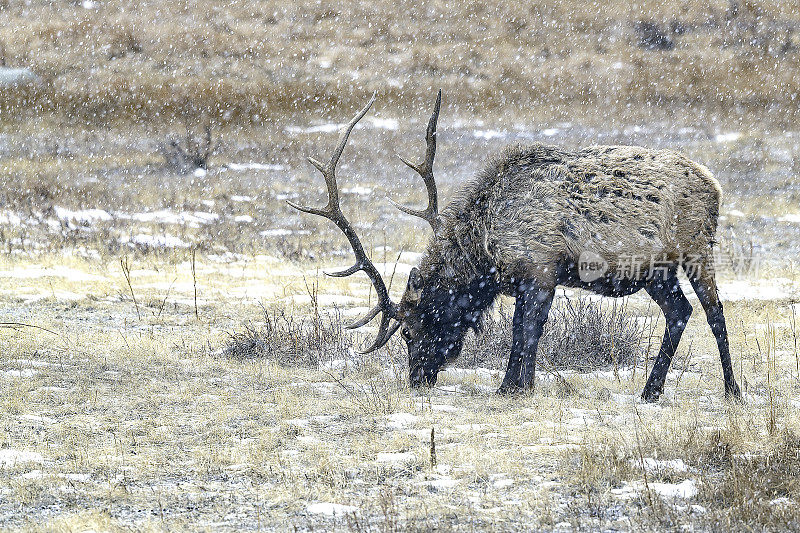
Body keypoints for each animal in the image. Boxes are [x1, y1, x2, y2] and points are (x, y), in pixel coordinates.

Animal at [290, 91, 744, 402]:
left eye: (412, 329)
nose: (417, 379)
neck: (486, 250)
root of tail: (716, 185)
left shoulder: (539, 270)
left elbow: (523, 330)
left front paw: (512, 385)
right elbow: (529, 331)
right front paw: (521, 383)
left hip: (697, 247)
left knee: (714, 312)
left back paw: (731, 390)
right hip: (655, 270)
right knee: (679, 311)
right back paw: (651, 390)